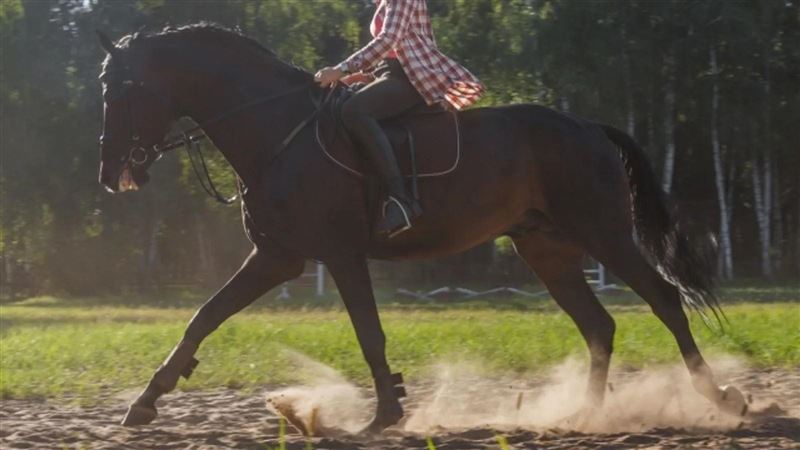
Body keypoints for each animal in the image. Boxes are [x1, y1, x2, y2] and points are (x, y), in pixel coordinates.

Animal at [97, 23, 748, 432]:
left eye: (122, 89)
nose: (110, 173)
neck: (278, 131)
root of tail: (588, 126)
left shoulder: (336, 255)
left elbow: (369, 334)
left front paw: (384, 415)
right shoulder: (277, 257)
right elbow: (203, 317)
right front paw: (145, 402)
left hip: (605, 235)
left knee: (663, 301)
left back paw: (719, 397)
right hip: (548, 250)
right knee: (599, 325)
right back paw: (584, 416)